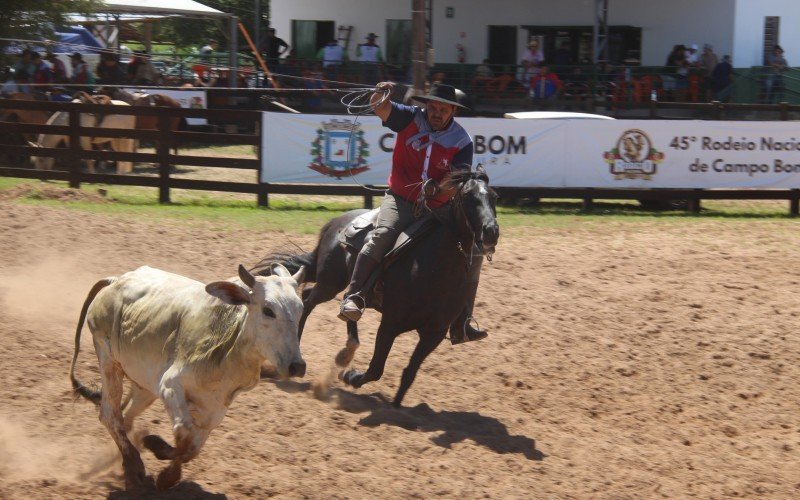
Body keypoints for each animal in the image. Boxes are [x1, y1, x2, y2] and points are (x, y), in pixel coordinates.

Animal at [70, 264, 306, 490]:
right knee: (110, 415)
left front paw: (165, 472)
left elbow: (192, 448)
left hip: (145, 385)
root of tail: (116, 280)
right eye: (268, 310)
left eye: (300, 309)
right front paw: (155, 445)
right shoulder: (170, 385)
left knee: (125, 415)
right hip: (108, 359)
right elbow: (183, 432)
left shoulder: (214, 411)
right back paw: (134, 465)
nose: (297, 366)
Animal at [255, 168, 500, 406]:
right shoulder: (390, 324)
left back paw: (347, 349)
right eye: (467, 196)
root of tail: (336, 221)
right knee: (308, 301)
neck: (435, 268)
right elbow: (376, 369)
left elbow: (409, 374)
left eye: (493, 196)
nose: (491, 231)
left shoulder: (434, 333)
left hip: (340, 285)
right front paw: (350, 376)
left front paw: (396, 406)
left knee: (343, 302)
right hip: (330, 281)